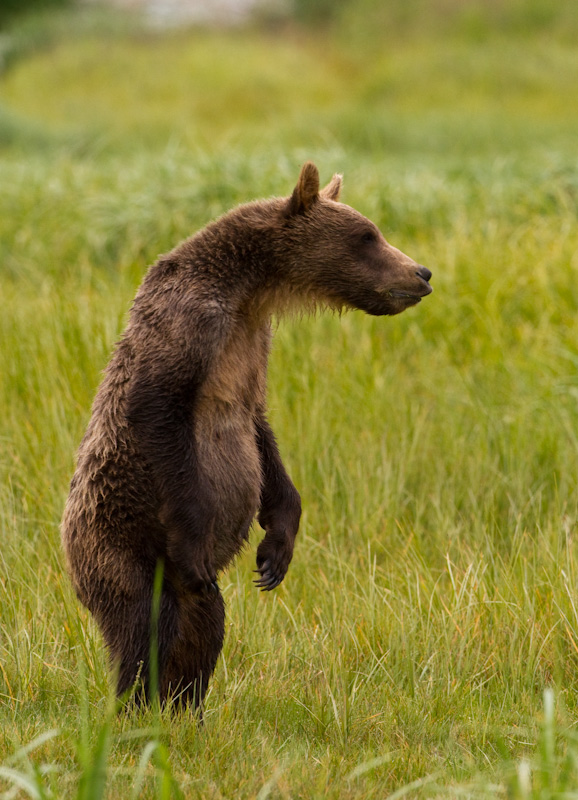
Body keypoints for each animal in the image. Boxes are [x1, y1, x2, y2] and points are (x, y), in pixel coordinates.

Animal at [63, 161, 432, 708]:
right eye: (367, 236)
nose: (421, 273)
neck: (250, 292)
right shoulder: (191, 324)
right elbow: (157, 411)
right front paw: (198, 538)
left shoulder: (253, 347)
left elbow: (260, 433)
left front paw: (276, 550)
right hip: (116, 543)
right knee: (146, 625)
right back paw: (135, 706)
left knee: (205, 630)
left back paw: (185, 707)